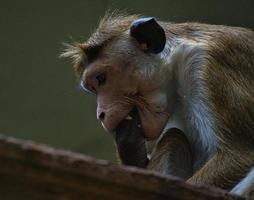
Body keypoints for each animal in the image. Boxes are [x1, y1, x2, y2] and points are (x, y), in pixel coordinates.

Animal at [61, 12, 254, 197]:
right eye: (93, 88)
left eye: (101, 78)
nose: (100, 114)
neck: (175, 67)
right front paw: (130, 144)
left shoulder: (209, 66)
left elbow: (239, 157)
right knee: (173, 137)